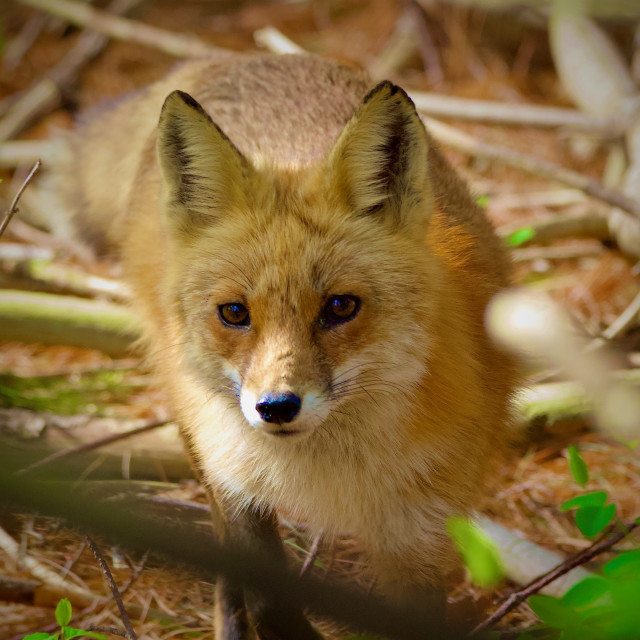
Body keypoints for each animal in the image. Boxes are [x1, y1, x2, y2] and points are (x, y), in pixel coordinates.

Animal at [42, 55, 516, 640]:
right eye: (234, 313)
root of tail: (226, 58)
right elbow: (267, 597)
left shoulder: (422, 533)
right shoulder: (235, 477)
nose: (276, 407)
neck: (327, 473)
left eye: (340, 306)